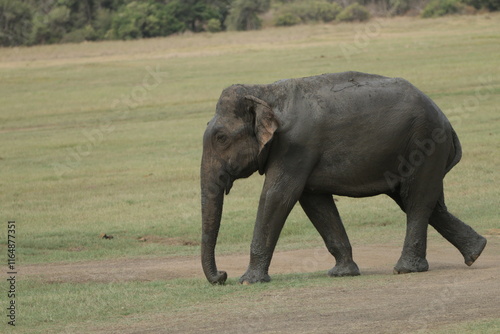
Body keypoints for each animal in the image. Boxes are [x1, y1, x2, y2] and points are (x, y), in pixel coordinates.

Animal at [200, 70, 488, 284]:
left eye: (221, 138)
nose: (223, 276)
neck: (263, 91)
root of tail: (447, 122)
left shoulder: (295, 146)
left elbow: (277, 196)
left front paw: (248, 281)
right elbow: (314, 201)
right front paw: (343, 273)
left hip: (425, 144)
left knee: (416, 201)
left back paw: (406, 269)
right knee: (422, 201)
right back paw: (476, 251)